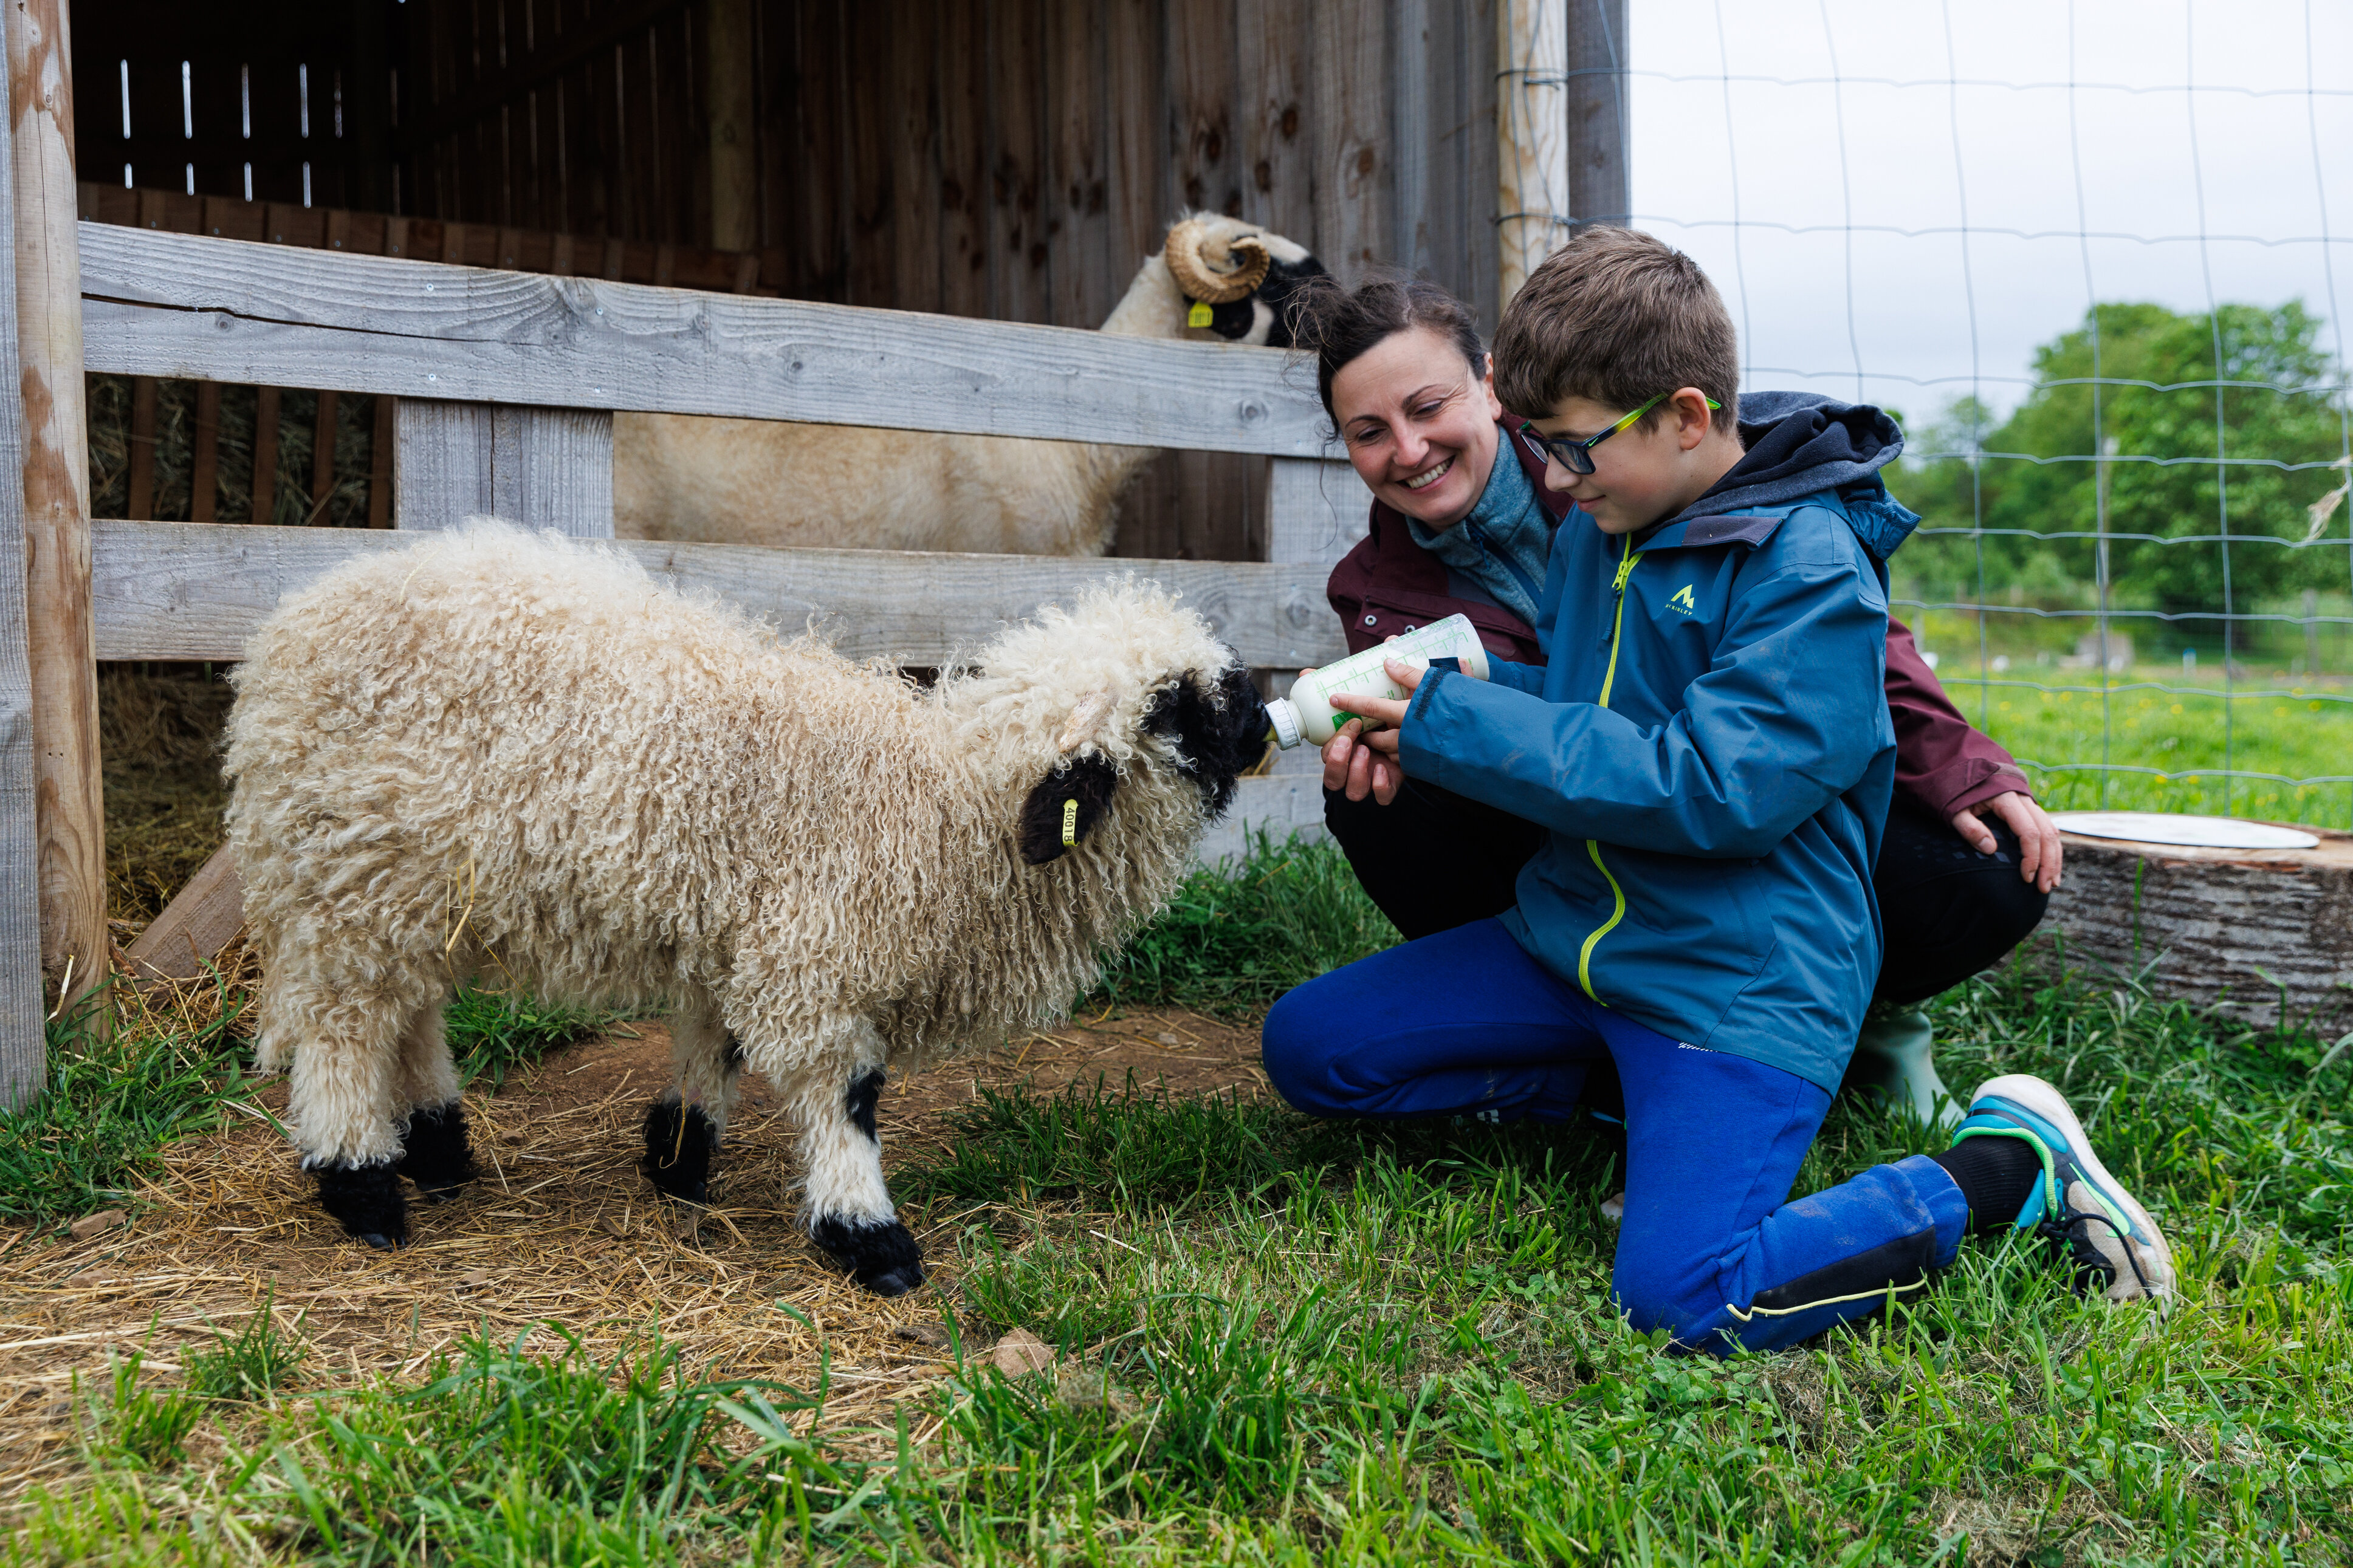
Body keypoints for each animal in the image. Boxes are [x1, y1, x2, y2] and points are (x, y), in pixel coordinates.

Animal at [224, 522, 1270, 1298]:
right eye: (1176, 708)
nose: (1265, 718)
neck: (942, 812)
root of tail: (290, 628)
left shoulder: (744, 932)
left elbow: (713, 1047)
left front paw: (679, 1162)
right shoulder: (813, 960)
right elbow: (845, 1100)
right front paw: (870, 1238)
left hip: (416, 889)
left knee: (410, 1009)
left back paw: (438, 1146)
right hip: (347, 874)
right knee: (345, 1029)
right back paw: (364, 1186)